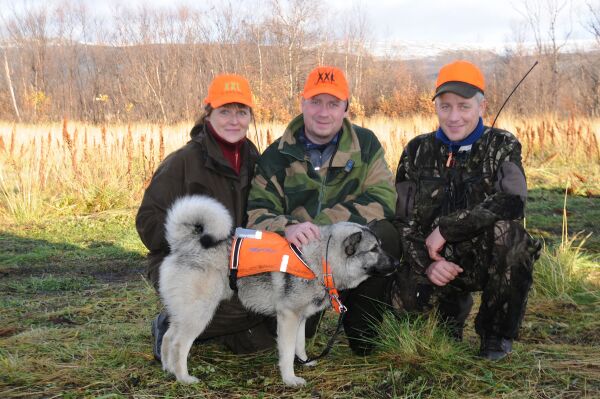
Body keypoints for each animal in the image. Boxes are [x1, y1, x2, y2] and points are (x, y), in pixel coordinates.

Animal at [158, 195, 398, 386]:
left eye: (380, 246)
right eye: (374, 249)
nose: (397, 263)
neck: (320, 259)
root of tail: (186, 244)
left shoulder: (300, 318)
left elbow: (299, 346)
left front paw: (305, 362)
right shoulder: (288, 318)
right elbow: (287, 352)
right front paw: (290, 378)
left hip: (184, 313)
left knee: (168, 337)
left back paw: (168, 369)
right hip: (200, 313)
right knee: (179, 344)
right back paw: (184, 377)